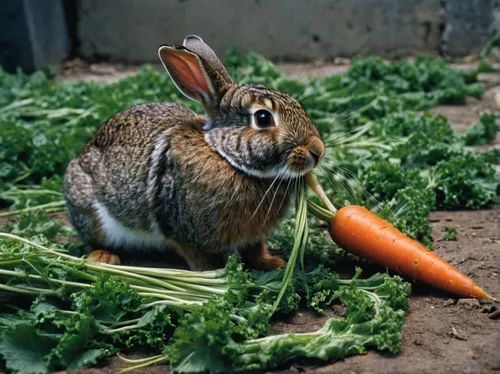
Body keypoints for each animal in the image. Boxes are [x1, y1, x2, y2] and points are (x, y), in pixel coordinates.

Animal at [63, 35, 324, 270]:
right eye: (262, 118)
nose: (318, 151)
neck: (224, 156)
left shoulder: (253, 236)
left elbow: (256, 249)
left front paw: (272, 263)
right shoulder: (181, 231)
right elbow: (199, 258)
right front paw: (212, 273)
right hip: (91, 211)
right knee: (94, 238)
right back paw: (104, 257)